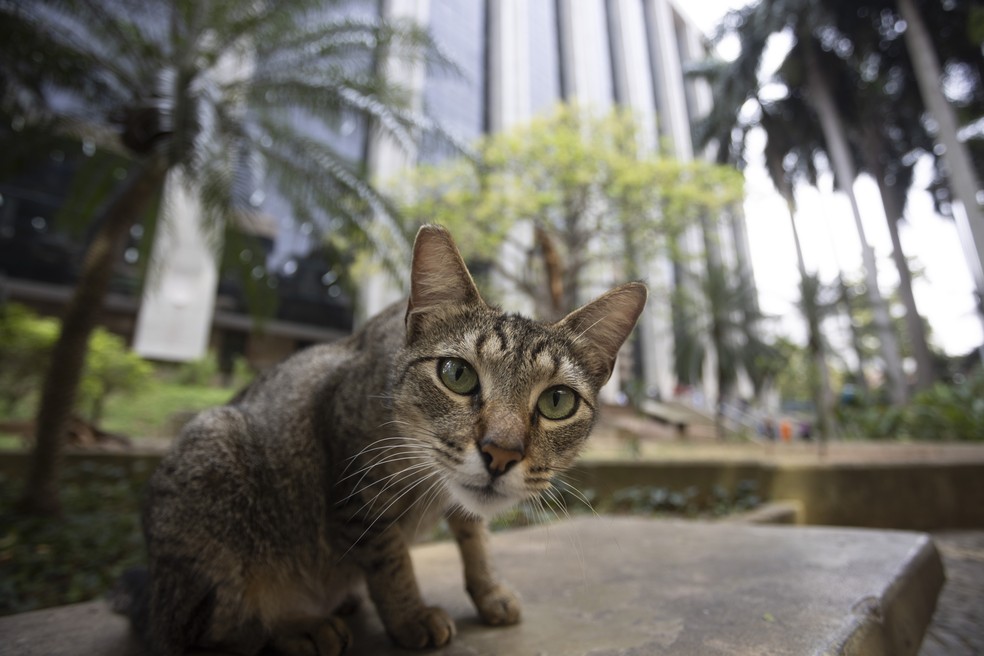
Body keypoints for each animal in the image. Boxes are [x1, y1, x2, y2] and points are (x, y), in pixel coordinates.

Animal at [117, 223, 644, 652]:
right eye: (457, 374)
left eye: (557, 402)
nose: (500, 452)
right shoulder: (355, 484)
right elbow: (390, 558)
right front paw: (410, 616)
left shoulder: (457, 502)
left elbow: (475, 535)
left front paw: (490, 590)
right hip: (212, 463)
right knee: (210, 631)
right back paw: (299, 625)